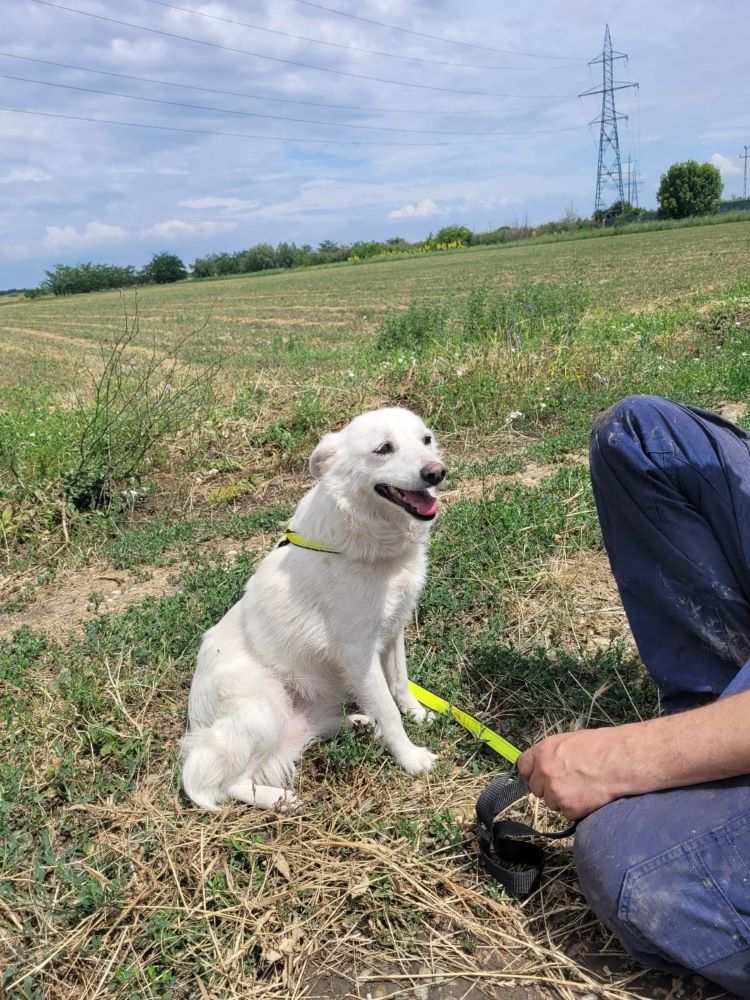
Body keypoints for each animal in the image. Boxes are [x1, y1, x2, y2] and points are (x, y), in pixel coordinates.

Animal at [184, 406, 446, 812]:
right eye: (384, 448)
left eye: (426, 439)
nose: (436, 472)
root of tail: (196, 723)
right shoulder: (358, 653)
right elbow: (388, 708)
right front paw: (410, 758)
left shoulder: (392, 630)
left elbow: (400, 684)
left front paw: (418, 713)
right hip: (266, 708)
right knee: (228, 784)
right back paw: (280, 800)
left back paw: (357, 723)